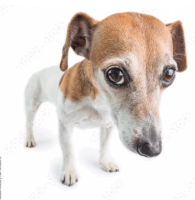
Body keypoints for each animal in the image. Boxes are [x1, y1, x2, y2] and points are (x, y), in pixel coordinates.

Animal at [24, 12, 187, 186]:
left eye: (169, 74)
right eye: (115, 74)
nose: (152, 149)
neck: (99, 103)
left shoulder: (108, 126)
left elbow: (104, 145)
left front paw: (106, 162)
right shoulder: (65, 126)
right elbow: (68, 152)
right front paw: (69, 172)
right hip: (31, 106)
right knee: (29, 124)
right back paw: (29, 139)